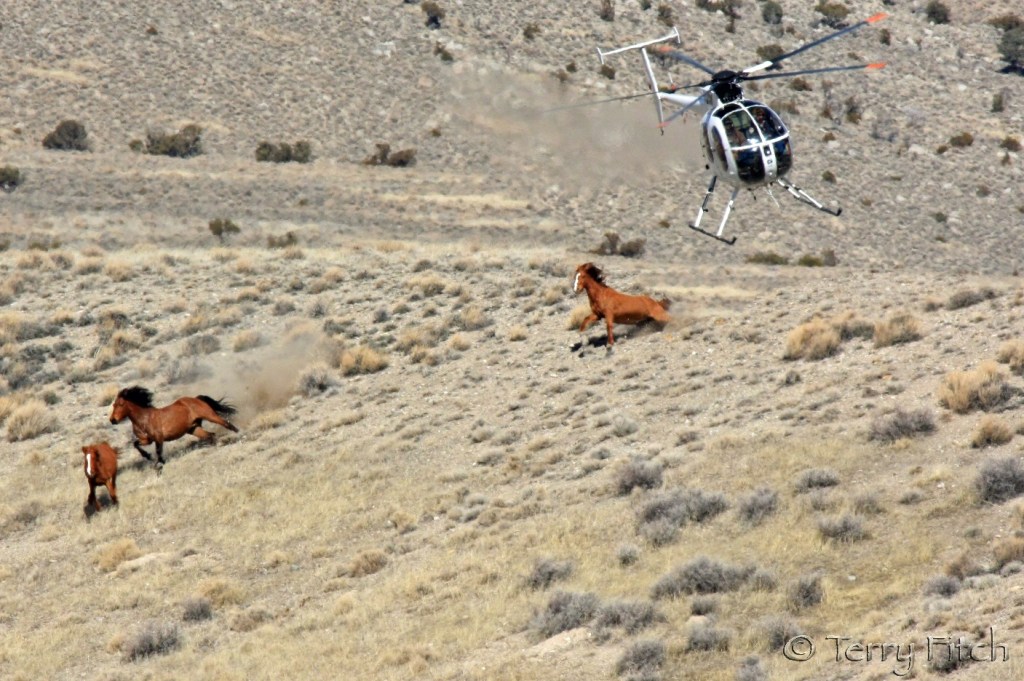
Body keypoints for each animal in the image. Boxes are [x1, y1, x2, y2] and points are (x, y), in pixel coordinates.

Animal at [110, 386, 239, 468]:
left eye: (120, 404)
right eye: (114, 404)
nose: (112, 420)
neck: (144, 418)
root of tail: (196, 398)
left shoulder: (159, 438)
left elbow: (158, 451)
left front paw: (159, 464)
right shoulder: (146, 440)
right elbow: (136, 444)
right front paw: (147, 456)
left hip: (210, 416)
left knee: (226, 424)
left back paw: (238, 434)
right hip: (193, 429)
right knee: (210, 435)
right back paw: (215, 445)